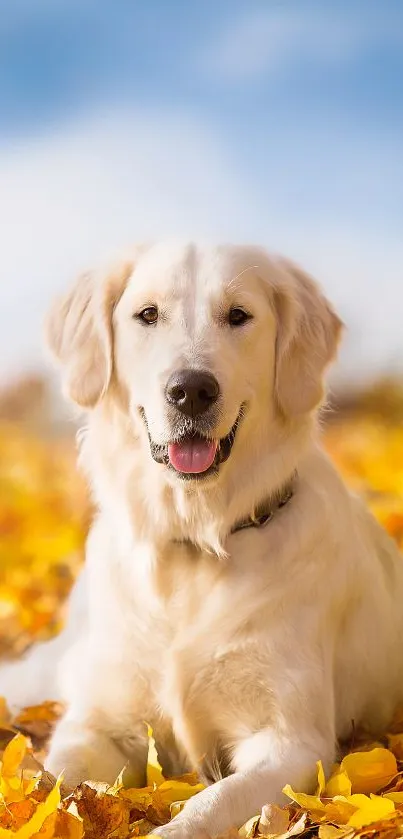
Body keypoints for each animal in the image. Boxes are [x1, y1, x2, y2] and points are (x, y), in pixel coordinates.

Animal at [1, 243, 402, 839]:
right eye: (147, 315)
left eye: (238, 315)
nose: (191, 390)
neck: (193, 543)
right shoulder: (100, 723)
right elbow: (52, 781)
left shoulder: (291, 743)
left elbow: (209, 804)